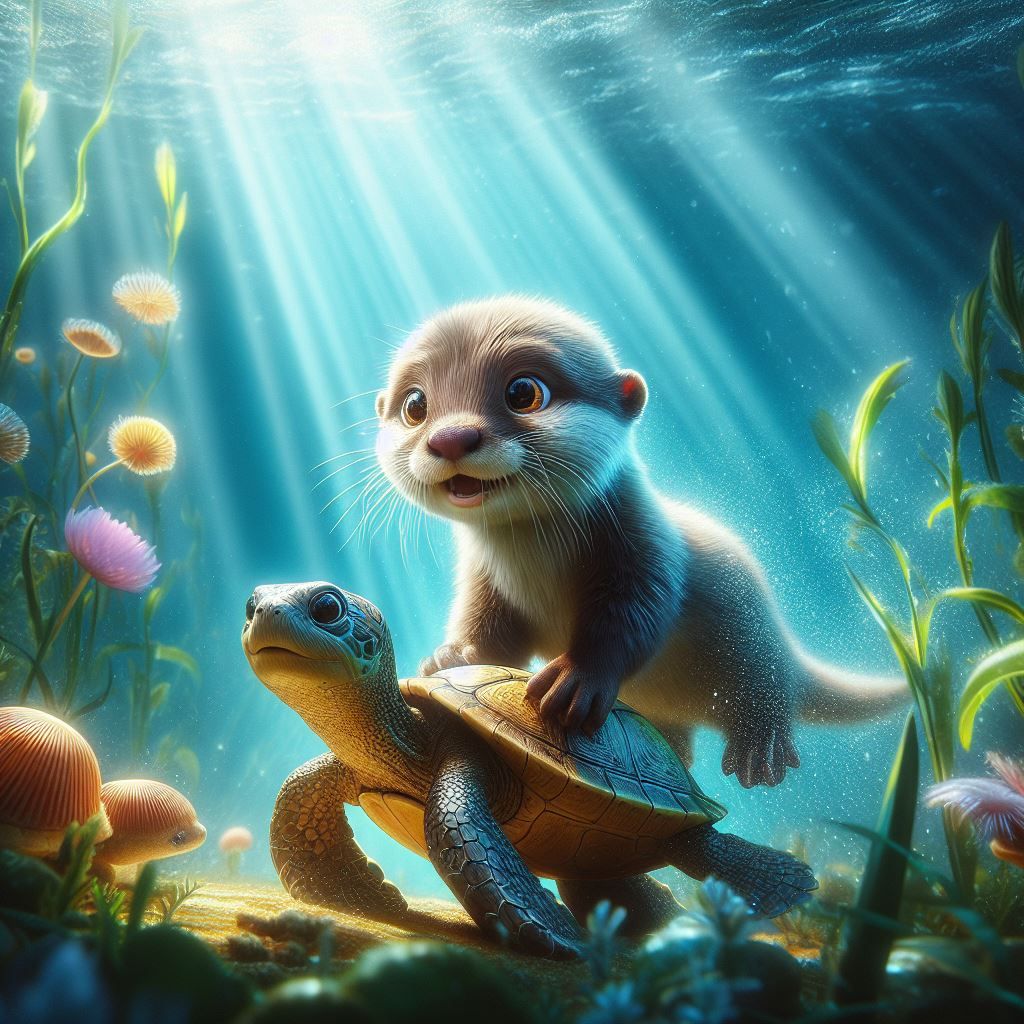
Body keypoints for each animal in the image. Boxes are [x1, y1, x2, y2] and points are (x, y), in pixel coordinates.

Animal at [373, 296, 906, 788]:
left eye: (524, 391)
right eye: (415, 405)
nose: (451, 437)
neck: (534, 564)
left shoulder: (645, 547)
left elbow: (634, 618)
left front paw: (577, 679)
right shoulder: (486, 583)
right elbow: (493, 636)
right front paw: (452, 656)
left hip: (755, 643)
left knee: (769, 690)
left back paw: (759, 751)